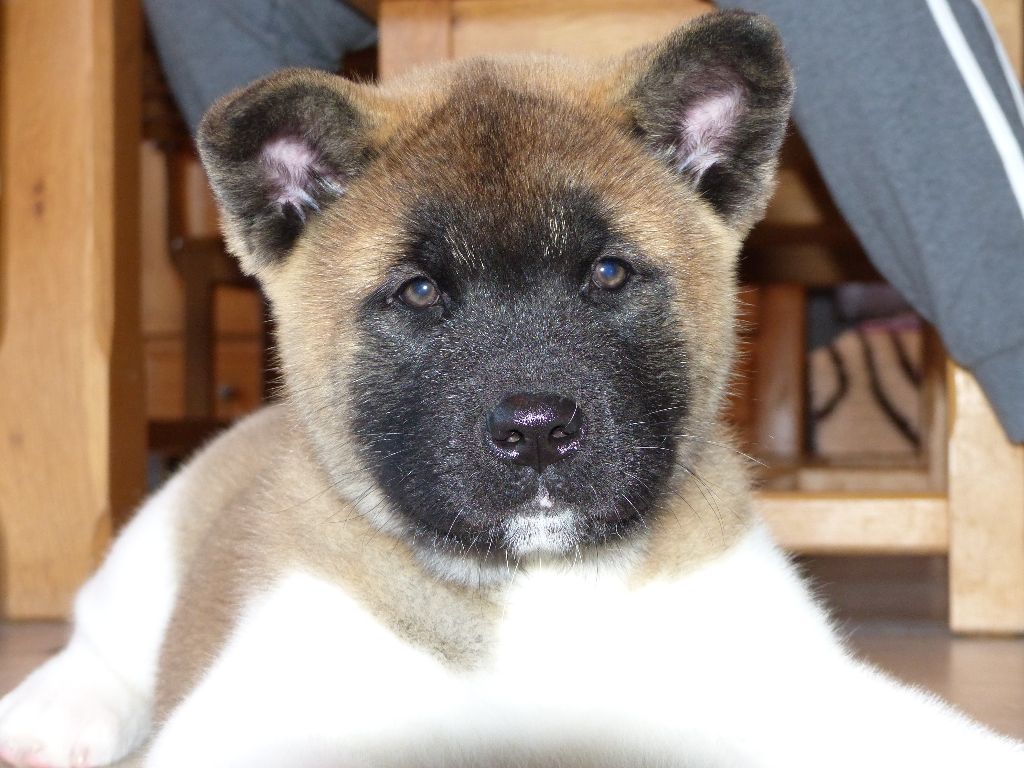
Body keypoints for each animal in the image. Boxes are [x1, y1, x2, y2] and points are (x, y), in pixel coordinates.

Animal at [1, 11, 1021, 767]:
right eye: (419, 293)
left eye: (608, 274)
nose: (535, 432)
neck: (538, 593)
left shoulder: (808, 693)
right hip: (151, 547)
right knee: (99, 639)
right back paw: (52, 718)